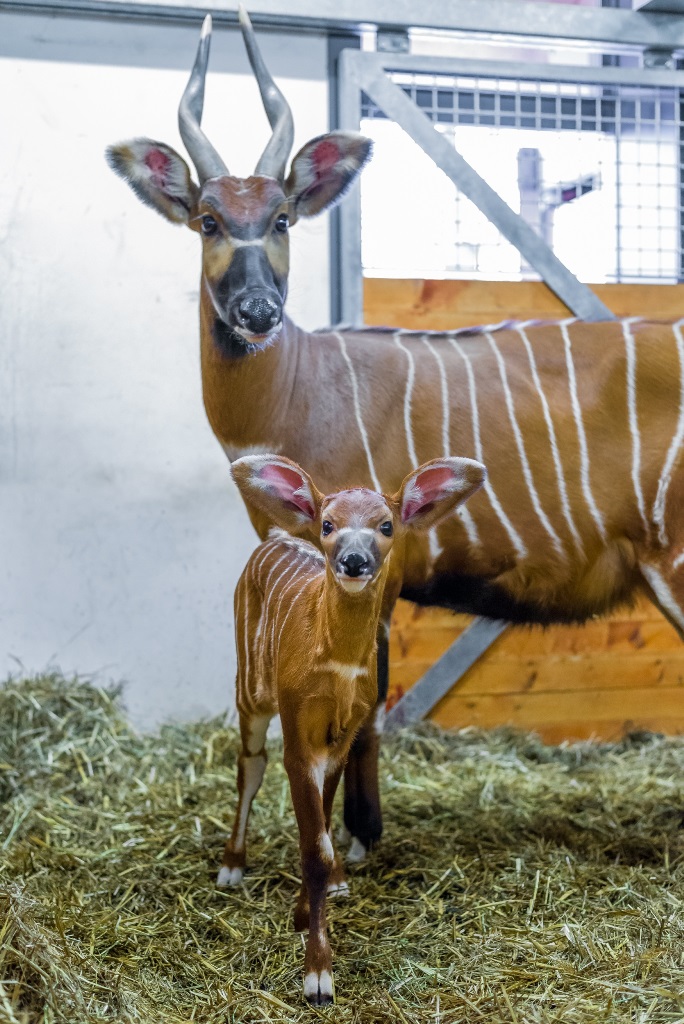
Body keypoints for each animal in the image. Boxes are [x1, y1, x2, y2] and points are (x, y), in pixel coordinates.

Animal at [108, 9, 684, 864]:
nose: (258, 311)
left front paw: (358, 838)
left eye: (282, 217)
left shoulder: (376, 561)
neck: (298, 384)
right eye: (208, 220)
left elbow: (371, 705)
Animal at [216, 452, 483, 1003]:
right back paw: (231, 865)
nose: (354, 561)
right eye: (328, 523)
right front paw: (318, 976)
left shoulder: (341, 734)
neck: (337, 668)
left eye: (386, 525)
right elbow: (312, 845)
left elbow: (319, 832)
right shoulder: (298, 729)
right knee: (250, 765)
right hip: (249, 690)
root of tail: (275, 536)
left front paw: (307, 914)